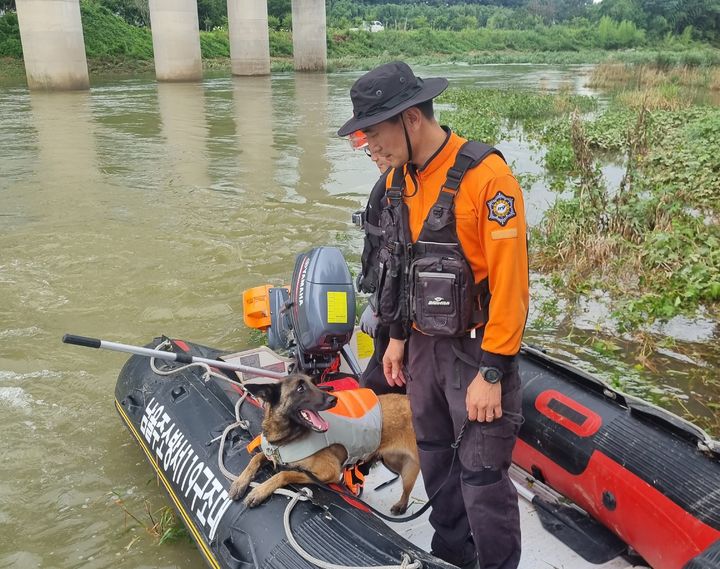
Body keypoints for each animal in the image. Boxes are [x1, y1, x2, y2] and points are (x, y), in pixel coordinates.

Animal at [229, 374, 422, 512]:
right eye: (300, 388)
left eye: (314, 383)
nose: (333, 399)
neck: (286, 438)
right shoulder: (275, 455)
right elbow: (256, 458)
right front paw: (239, 483)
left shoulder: (327, 473)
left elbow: (284, 474)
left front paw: (259, 491)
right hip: (393, 462)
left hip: (411, 468)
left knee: (408, 488)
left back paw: (401, 506)